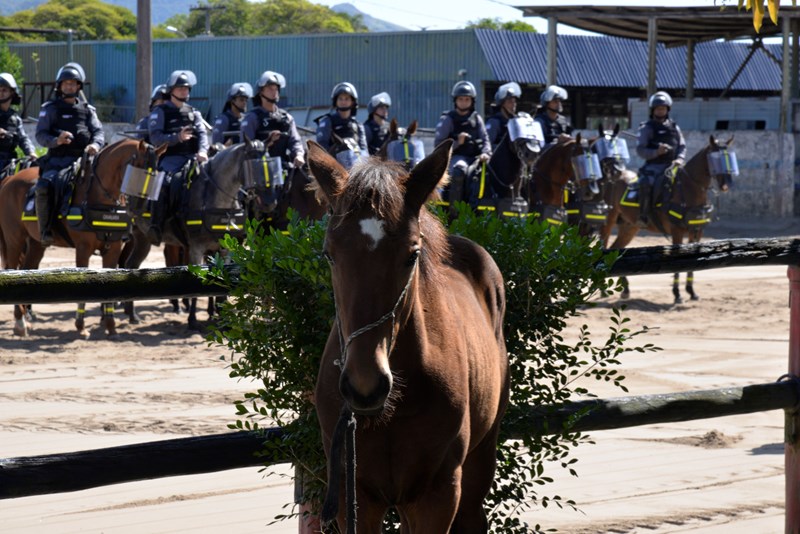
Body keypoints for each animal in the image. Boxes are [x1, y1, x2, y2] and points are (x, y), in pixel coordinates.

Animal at [0, 139, 161, 340]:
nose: (139, 208)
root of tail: (9, 180)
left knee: (27, 269)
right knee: (12, 269)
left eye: (155, 176)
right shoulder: (83, 249)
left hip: (36, 244)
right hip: (15, 239)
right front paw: (81, 327)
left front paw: (111, 327)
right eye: (137, 171)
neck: (98, 197)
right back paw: (20, 322)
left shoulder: (113, 248)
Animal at [310, 140, 510, 532]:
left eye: (412, 254)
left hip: (480, 461)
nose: (365, 384)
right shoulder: (355, 496)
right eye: (329, 254)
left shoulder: (438, 494)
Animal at [600, 136, 736, 304]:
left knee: (615, 251)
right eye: (715, 158)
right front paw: (677, 294)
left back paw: (625, 290)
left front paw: (691, 291)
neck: (689, 189)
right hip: (609, 222)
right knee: (603, 248)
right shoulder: (677, 231)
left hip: (629, 227)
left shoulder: (697, 231)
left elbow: (695, 261)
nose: (726, 184)